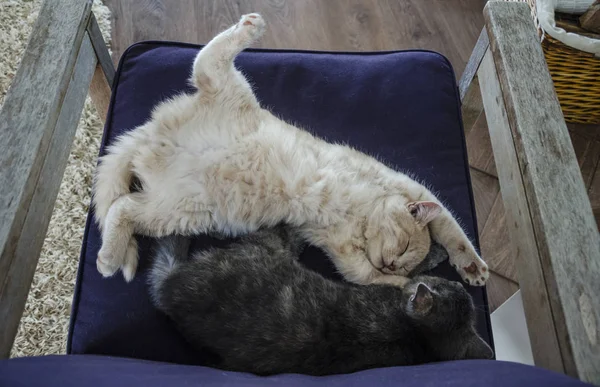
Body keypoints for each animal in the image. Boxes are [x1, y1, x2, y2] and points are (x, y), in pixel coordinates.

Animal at [92, 12, 488, 288]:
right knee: (209, 56)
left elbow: (363, 274)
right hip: (223, 90)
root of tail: (154, 133)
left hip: (177, 211)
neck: (361, 220)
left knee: (122, 207)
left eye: (404, 257)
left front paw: (408, 279)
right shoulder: (404, 183)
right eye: (404, 245)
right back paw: (251, 25)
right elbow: (450, 227)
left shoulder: (340, 249)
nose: (393, 264)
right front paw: (468, 266)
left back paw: (108, 257)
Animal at [149, 227, 492, 376]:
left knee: (279, 234)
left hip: (265, 249)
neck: (416, 336)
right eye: (450, 284)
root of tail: (171, 288)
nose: (454, 280)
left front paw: (435, 252)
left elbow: (409, 269)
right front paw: (441, 251)